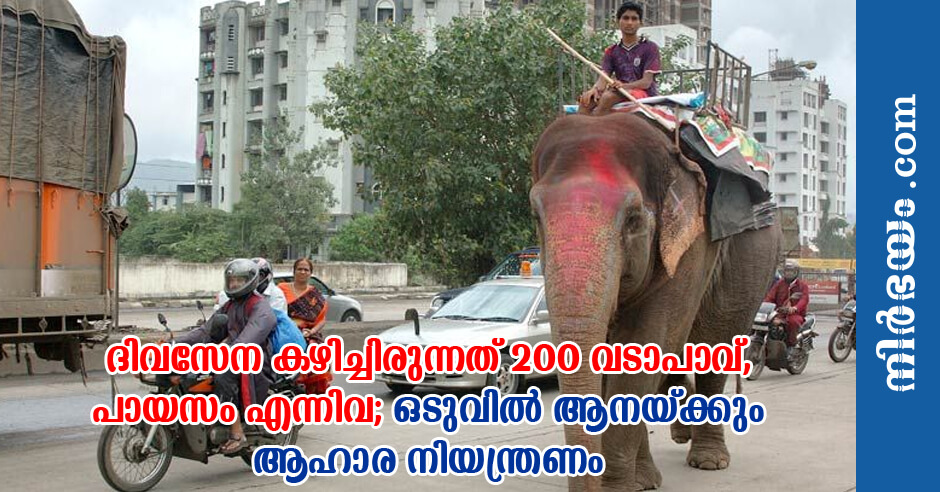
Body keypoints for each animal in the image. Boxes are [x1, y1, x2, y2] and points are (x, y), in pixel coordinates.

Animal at [529, 112, 781, 491]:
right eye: (536, 216)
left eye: (633, 219)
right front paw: (638, 481)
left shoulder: (691, 247)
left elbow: (644, 344)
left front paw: (617, 486)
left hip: (752, 260)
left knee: (715, 342)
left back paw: (709, 461)